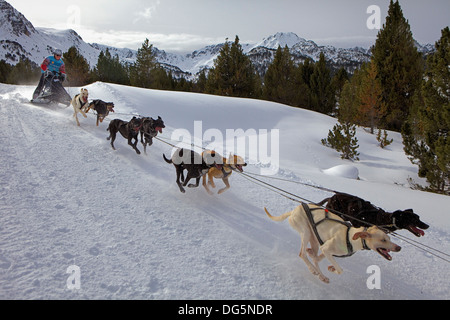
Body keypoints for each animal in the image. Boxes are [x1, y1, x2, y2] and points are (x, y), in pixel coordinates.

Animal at [264, 204, 400, 284]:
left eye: (389, 238)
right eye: (383, 240)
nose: (399, 248)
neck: (349, 237)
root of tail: (293, 210)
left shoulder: (326, 251)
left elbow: (317, 259)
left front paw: (324, 269)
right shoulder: (326, 249)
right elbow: (340, 270)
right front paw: (332, 268)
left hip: (314, 238)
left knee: (311, 255)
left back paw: (319, 273)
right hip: (306, 233)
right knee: (302, 254)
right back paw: (313, 269)